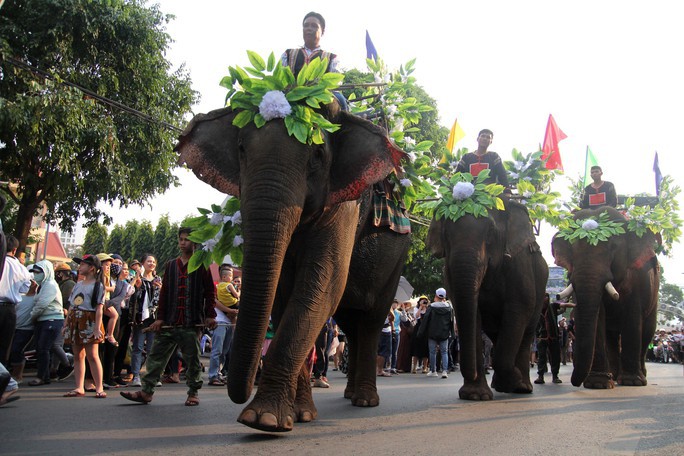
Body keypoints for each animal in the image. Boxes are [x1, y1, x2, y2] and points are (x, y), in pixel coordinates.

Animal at [178, 102, 412, 432]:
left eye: (317, 155)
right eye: (241, 148)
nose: (242, 388)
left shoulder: (346, 205)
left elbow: (323, 283)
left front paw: (262, 419)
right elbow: (284, 292)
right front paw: (297, 415)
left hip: (396, 260)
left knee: (369, 320)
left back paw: (365, 400)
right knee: (349, 321)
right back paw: (350, 393)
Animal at [428, 199, 552, 400]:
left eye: (491, 232)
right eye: (446, 234)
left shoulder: (520, 266)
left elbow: (519, 308)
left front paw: (510, 382)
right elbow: (471, 314)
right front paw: (475, 395)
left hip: (540, 289)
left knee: (526, 332)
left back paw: (522, 386)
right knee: (496, 333)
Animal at [552, 207, 656, 388]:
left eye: (613, 247)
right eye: (571, 251)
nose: (574, 382)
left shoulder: (638, 278)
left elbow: (633, 318)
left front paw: (632, 382)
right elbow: (599, 317)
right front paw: (598, 383)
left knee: (647, 331)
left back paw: (638, 376)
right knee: (611, 337)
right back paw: (613, 376)